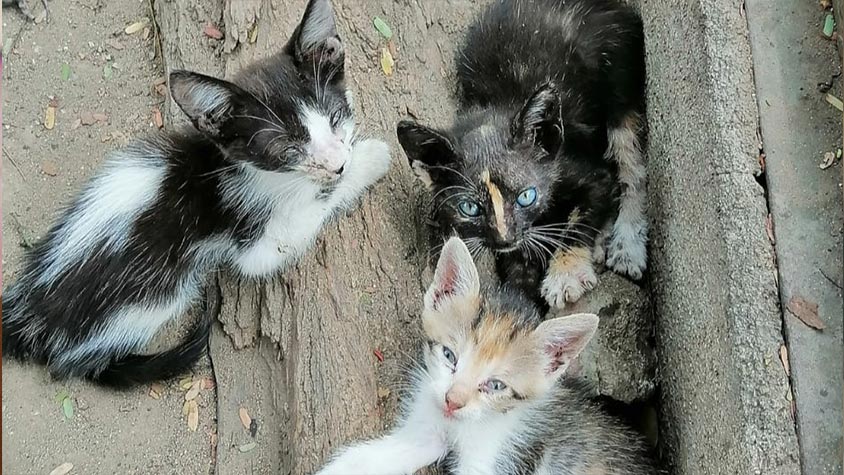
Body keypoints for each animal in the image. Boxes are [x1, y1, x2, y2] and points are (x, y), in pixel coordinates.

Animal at [0, 0, 392, 386]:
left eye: (335, 117)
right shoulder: (254, 241)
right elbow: (310, 207)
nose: (338, 163)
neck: (239, 168)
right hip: (154, 295)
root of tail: (28, 310)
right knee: (75, 362)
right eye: (287, 148)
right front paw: (371, 159)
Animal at [316, 238, 652, 475]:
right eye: (449, 355)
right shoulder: (430, 428)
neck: (468, 423)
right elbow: (375, 455)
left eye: (496, 386)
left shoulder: (498, 455)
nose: (452, 402)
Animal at [398, 0, 648, 312]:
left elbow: (582, 217)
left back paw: (628, 246)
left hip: (620, 75)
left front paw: (564, 276)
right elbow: (519, 269)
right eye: (469, 208)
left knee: (631, 165)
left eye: (526, 196)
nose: (504, 239)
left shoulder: (584, 170)